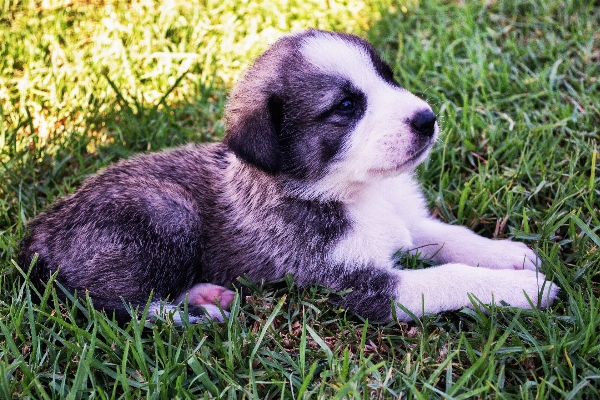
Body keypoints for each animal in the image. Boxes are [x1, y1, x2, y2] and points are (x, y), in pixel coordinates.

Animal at [16, 30, 556, 324]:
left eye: (388, 77)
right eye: (344, 107)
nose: (427, 120)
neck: (356, 192)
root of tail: (35, 236)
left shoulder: (406, 221)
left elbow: (448, 236)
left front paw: (508, 255)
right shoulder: (359, 286)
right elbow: (449, 277)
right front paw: (524, 290)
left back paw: (203, 293)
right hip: (166, 213)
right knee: (106, 302)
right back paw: (190, 313)